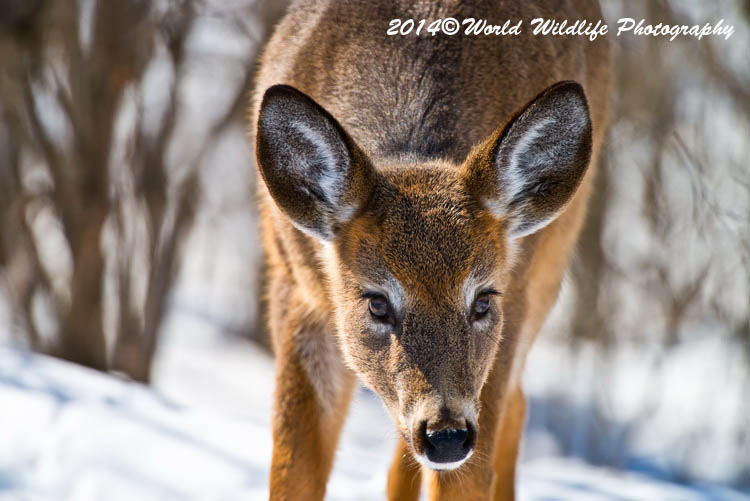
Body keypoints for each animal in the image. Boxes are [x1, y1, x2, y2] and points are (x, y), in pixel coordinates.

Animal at [249, 1, 611, 499]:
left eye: (482, 300)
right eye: (377, 302)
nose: (446, 434)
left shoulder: (509, 309)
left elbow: (467, 479)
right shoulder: (298, 290)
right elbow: (292, 469)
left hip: (545, 276)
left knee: (516, 405)